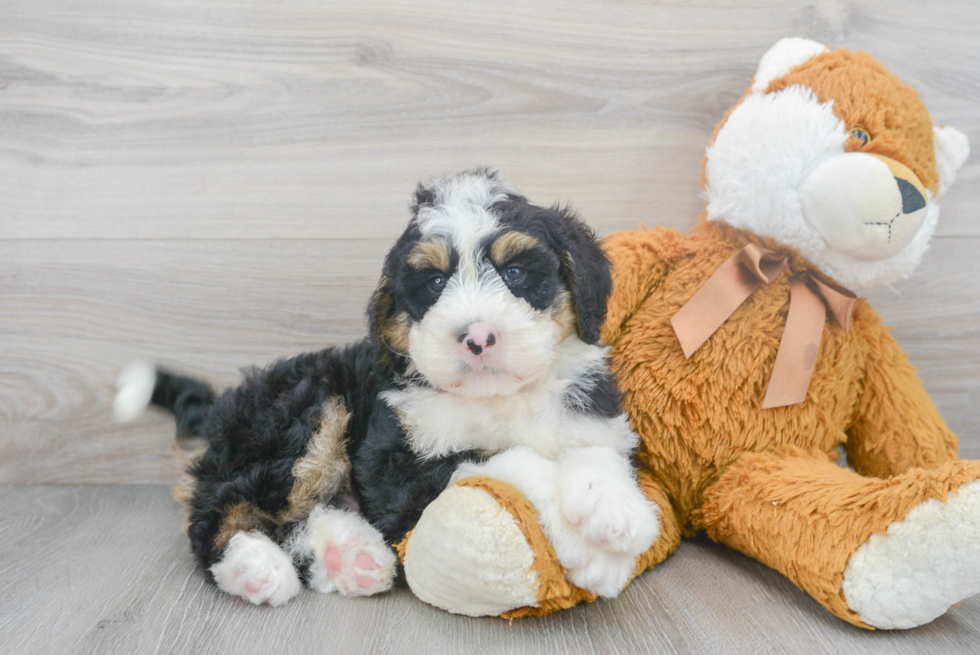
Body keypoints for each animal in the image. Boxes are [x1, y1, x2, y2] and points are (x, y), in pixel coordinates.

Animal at [118, 168, 664, 604]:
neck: (497, 399)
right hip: (305, 410)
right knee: (218, 510)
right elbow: (504, 459)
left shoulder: (589, 418)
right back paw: (252, 566)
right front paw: (596, 547)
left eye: (514, 273)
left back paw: (349, 556)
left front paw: (613, 508)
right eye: (436, 283)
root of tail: (220, 411)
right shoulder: (397, 465)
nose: (477, 338)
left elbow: (594, 452)